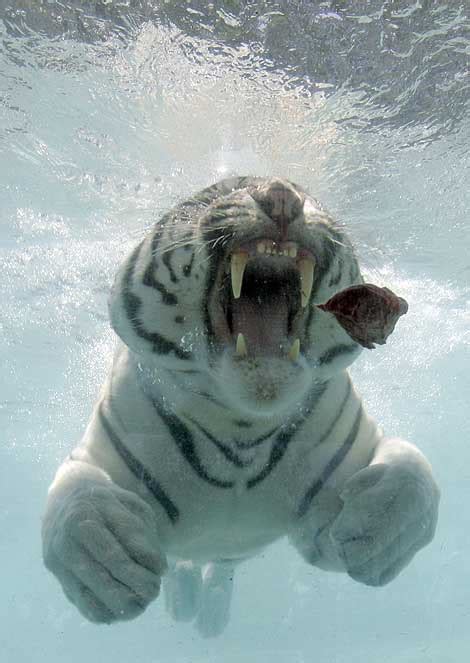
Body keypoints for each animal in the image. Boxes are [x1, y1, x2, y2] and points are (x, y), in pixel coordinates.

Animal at [42, 176, 439, 638]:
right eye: (214, 194)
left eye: (309, 197)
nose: (282, 197)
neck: (242, 423)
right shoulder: (98, 450)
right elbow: (77, 502)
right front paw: (109, 562)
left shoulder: (331, 496)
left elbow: (413, 471)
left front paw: (376, 530)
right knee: (183, 564)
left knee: (220, 567)